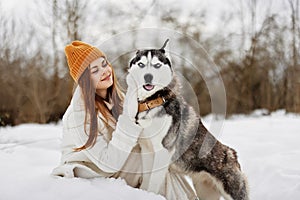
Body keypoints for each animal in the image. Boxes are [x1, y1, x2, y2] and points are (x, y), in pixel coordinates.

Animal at [127, 39, 250, 200]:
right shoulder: (147, 151)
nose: (148, 76)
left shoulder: (163, 152)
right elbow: (146, 182)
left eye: (157, 65)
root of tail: (231, 153)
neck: (152, 102)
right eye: (141, 64)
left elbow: (152, 184)